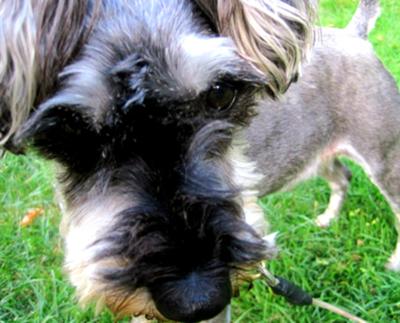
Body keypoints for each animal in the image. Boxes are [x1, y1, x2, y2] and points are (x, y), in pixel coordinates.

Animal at [247, 0, 400, 274]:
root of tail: (354, 35)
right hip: (310, 152)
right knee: (342, 177)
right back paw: (328, 219)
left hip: (382, 158)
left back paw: (395, 262)